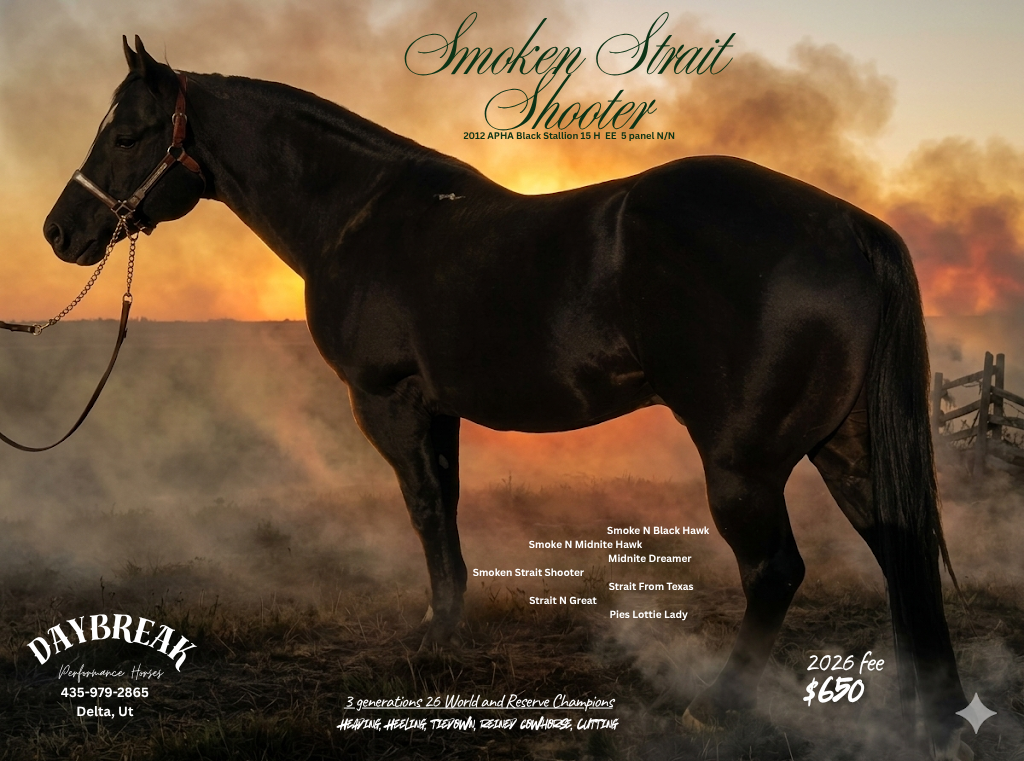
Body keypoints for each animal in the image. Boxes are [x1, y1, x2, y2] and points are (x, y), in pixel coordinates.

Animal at [42, 37, 971, 759]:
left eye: (127, 132)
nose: (60, 232)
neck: (360, 214)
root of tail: (848, 225)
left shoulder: (387, 401)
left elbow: (423, 507)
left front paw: (432, 633)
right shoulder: (438, 406)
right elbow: (447, 505)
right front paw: (451, 618)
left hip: (743, 462)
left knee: (775, 569)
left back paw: (715, 706)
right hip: (844, 443)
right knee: (901, 548)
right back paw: (932, 715)